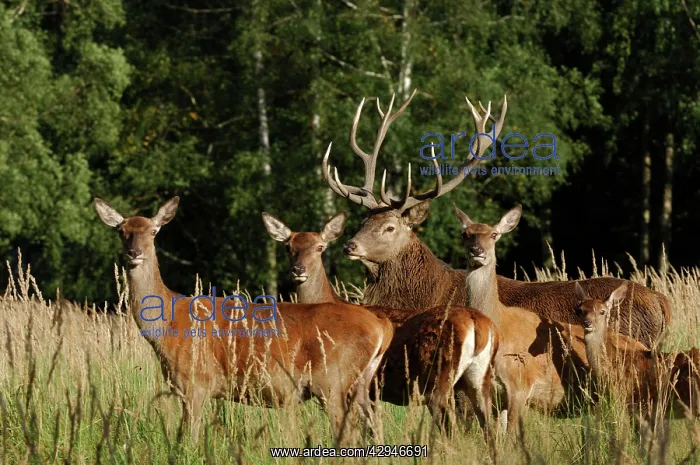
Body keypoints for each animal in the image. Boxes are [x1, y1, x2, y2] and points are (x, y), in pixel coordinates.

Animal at [94, 196, 394, 442]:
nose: (134, 253)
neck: (167, 327)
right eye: (121, 231)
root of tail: (381, 327)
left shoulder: (196, 381)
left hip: (332, 380)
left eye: (153, 231)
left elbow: (189, 440)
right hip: (361, 385)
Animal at [261, 210, 500, 437]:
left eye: (320, 247)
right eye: (288, 247)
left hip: (439, 380)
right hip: (478, 379)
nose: (299, 270)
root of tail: (478, 322)